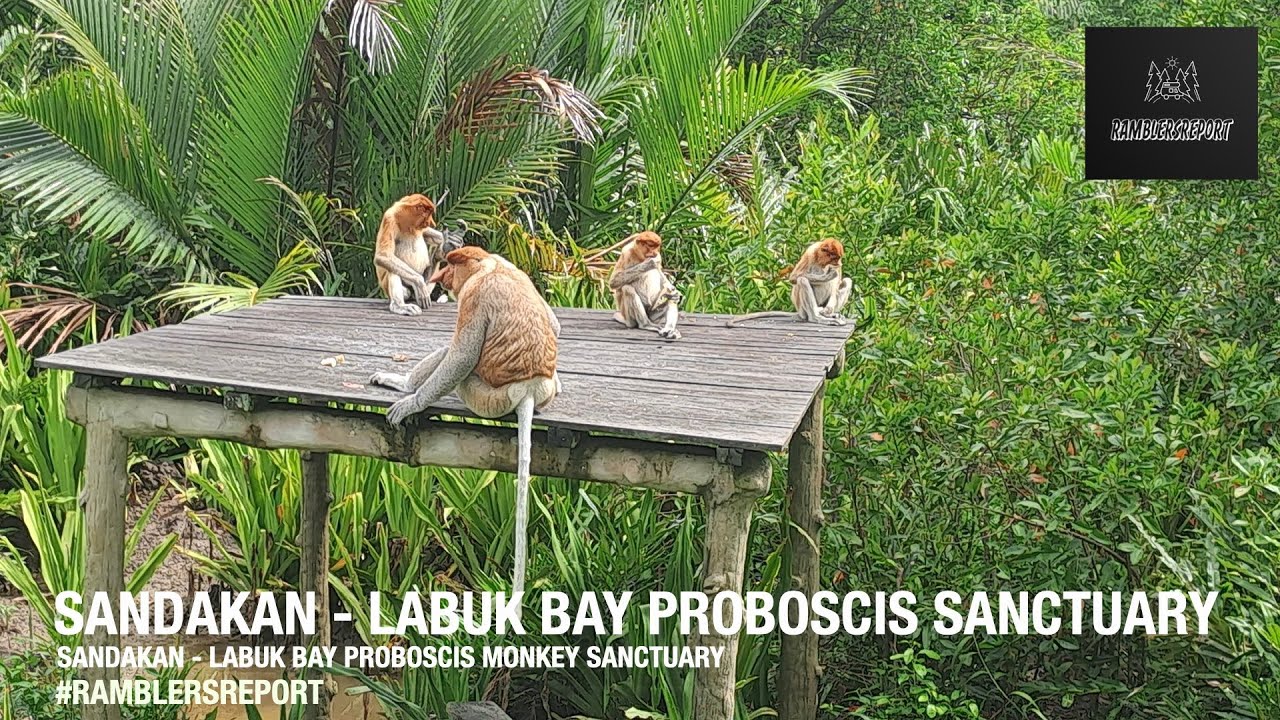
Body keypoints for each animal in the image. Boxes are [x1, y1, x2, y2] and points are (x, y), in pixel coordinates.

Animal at [369, 246, 559, 597]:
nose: (443, 280)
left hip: (484, 395)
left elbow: (462, 356)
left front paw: (410, 403)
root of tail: (529, 388)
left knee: (455, 356)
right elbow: (554, 323)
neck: (490, 266)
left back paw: (403, 385)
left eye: (450, 267)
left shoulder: (474, 298)